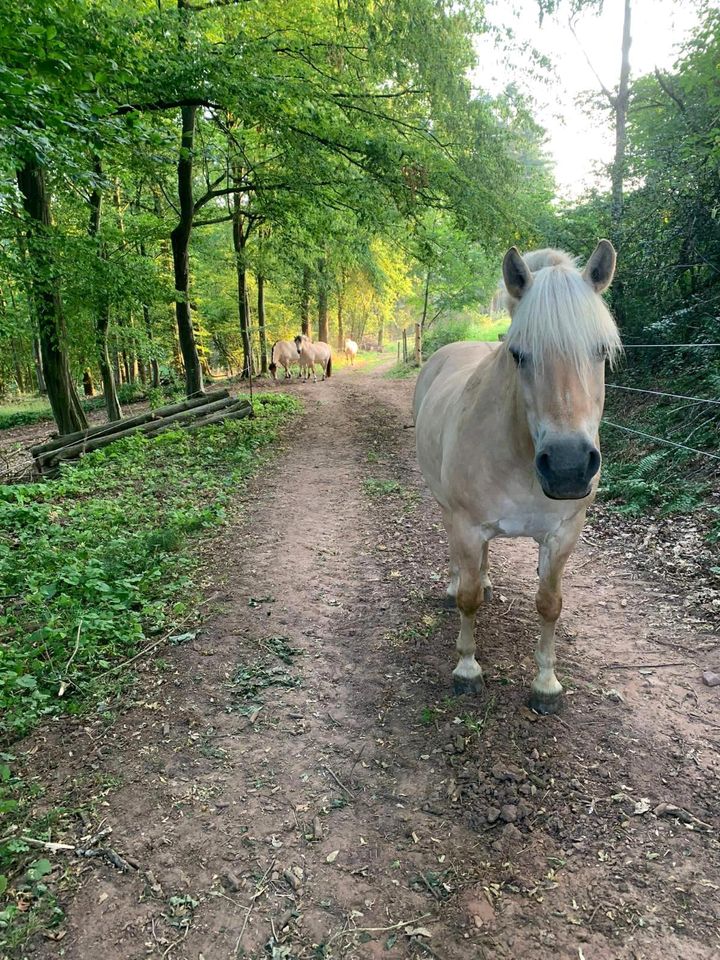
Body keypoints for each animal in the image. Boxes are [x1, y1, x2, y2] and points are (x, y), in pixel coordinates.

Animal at [414, 244, 620, 716]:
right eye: (519, 353)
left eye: (601, 351)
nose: (567, 466)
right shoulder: (467, 525)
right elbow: (469, 599)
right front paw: (467, 670)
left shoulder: (563, 534)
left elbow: (549, 604)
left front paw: (546, 684)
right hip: (447, 510)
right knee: (460, 566)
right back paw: (453, 585)